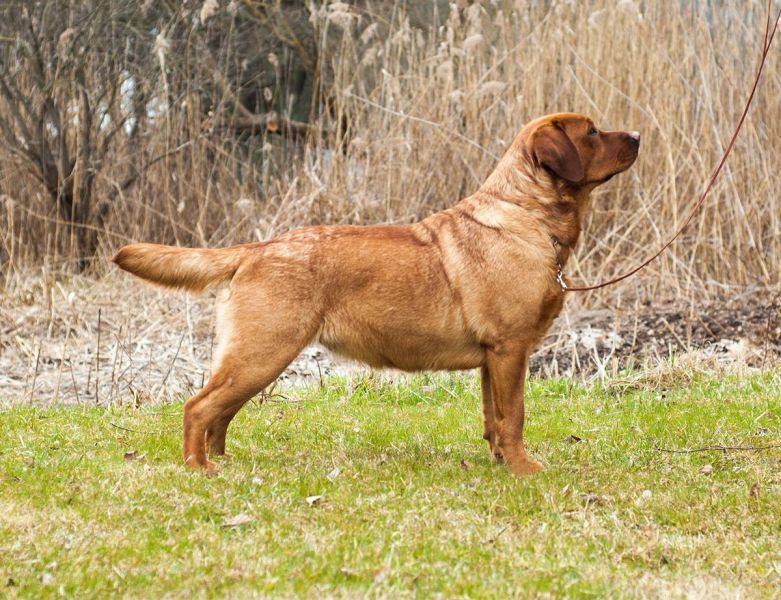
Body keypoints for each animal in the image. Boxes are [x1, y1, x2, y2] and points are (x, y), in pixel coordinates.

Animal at [113, 112, 640, 476]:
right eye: (592, 132)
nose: (636, 135)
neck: (527, 217)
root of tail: (256, 249)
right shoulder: (510, 349)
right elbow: (515, 417)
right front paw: (522, 469)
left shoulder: (494, 359)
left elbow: (494, 418)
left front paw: (498, 461)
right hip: (263, 352)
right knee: (198, 407)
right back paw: (199, 467)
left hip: (255, 357)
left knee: (219, 411)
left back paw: (223, 460)